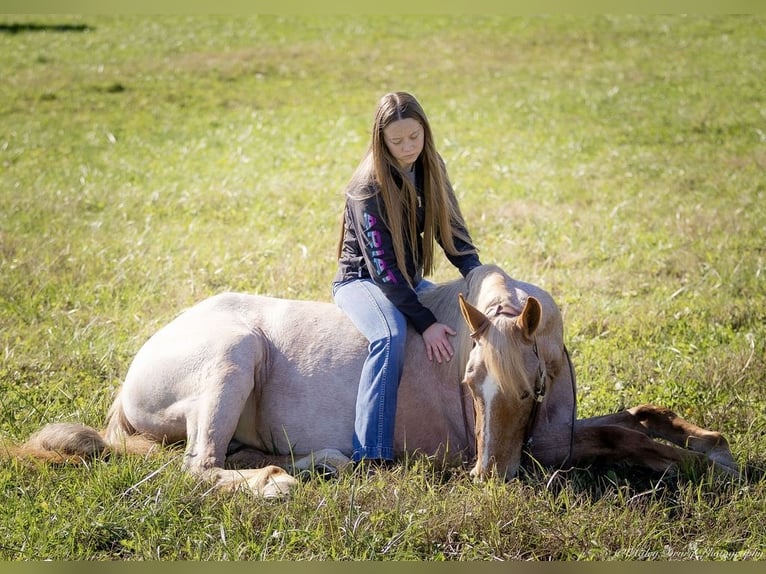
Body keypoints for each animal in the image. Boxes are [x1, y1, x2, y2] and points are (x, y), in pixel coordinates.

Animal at [9, 264, 736, 496]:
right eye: (470, 383)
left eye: (529, 389)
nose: (487, 479)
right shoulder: (537, 454)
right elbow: (626, 439)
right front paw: (701, 464)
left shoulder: (549, 437)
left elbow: (630, 421)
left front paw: (710, 445)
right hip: (231, 357)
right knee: (199, 465)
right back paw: (275, 486)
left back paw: (321, 464)